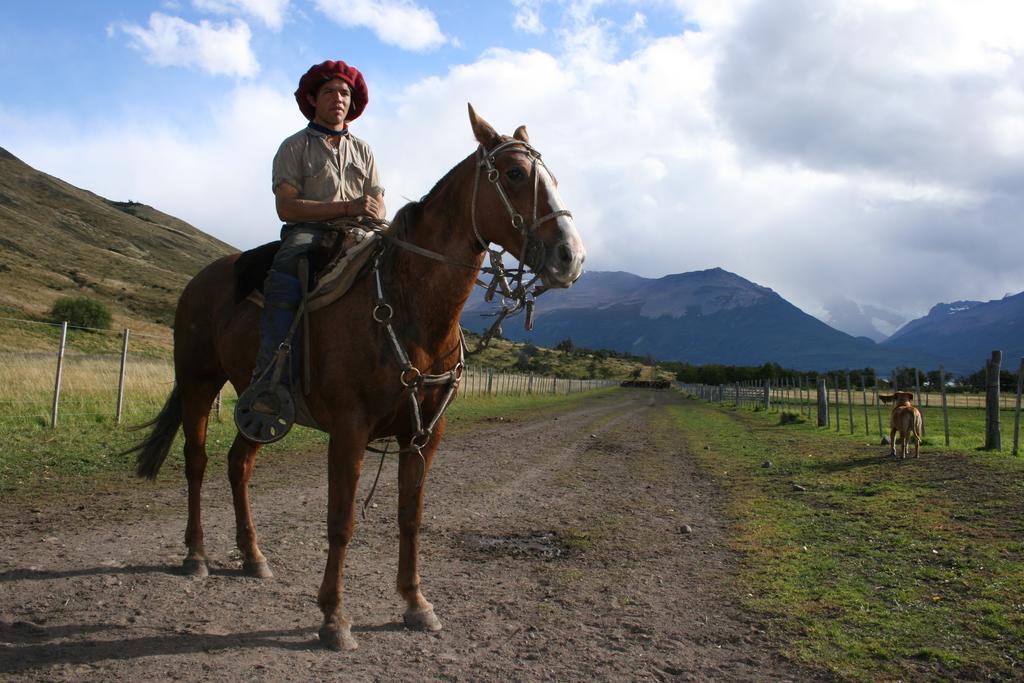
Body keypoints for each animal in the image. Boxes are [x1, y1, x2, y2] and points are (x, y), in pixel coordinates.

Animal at [126, 105, 589, 651]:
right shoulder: (349, 431)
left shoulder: (424, 435)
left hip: (256, 405)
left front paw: (416, 604)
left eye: (550, 175)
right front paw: (334, 618)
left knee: (239, 464)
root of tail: (199, 280)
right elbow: (341, 521)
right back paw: (196, 555)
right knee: (196, 461)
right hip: (199, 382)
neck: (409, 308)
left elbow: (410, 517)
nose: (571, 256)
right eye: (515, 174)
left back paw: (253, 556)